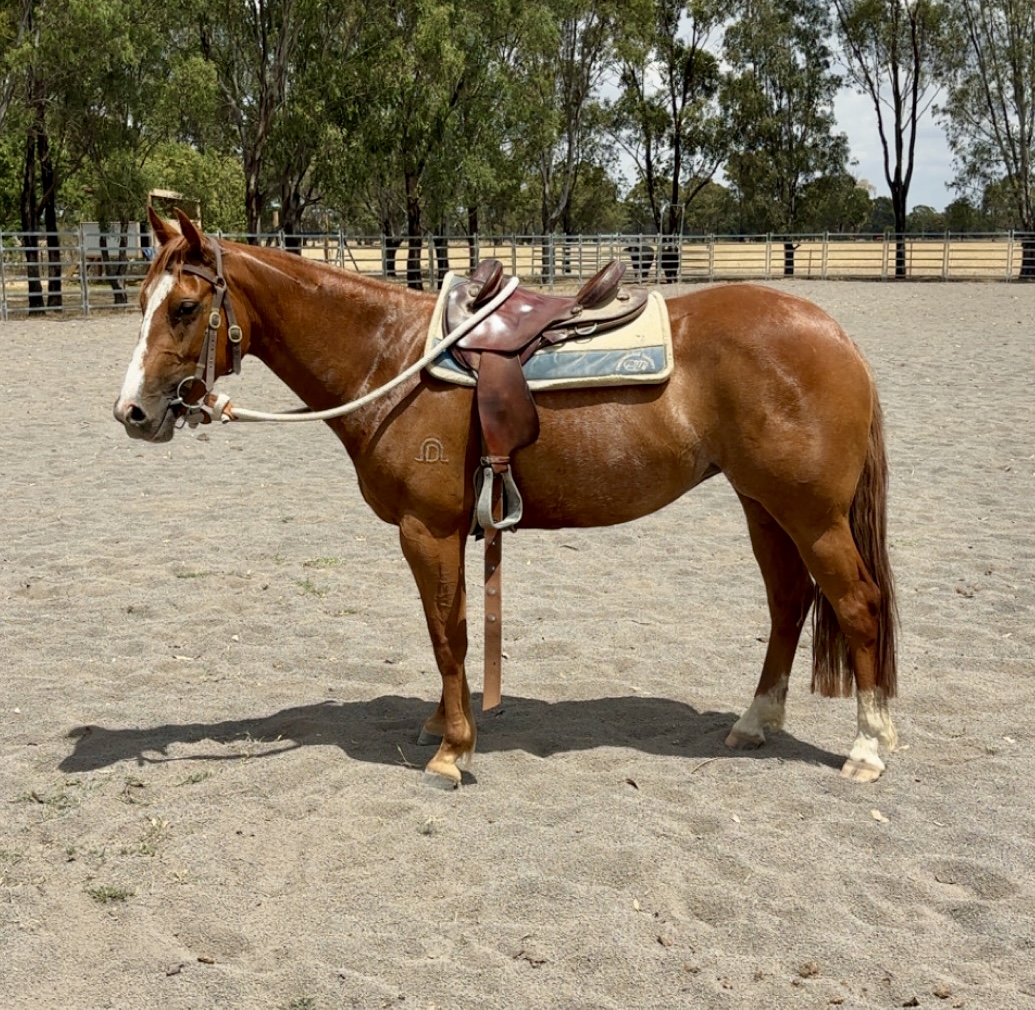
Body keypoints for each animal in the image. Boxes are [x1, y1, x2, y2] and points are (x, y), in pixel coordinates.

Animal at [114, 208, 899, 788]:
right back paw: (754, 723)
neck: (391, 358)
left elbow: (448, 634)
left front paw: (452, 750)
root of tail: (838, 337)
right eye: (144, 302)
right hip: (763, 507)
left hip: (811, 516)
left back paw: (866, 748)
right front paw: (444, 725)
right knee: (789, 603)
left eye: (184, 308)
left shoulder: (425, 529)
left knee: (857, 605)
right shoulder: (448, 531)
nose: (132, 413)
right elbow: (451, 628)